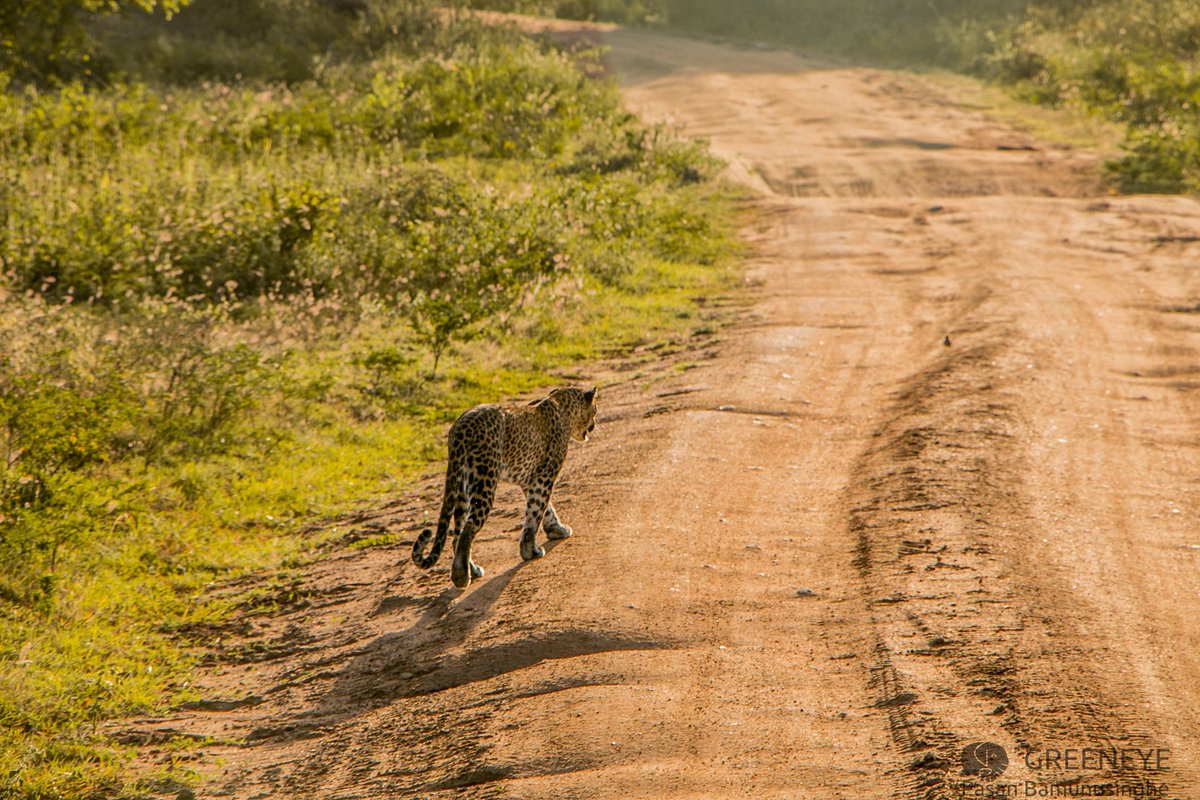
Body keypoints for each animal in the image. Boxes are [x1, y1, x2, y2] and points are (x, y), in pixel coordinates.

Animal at [411, 386, 598, 588]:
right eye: (595, 410)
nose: (594, 425)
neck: (562, 405)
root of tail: (461, 427)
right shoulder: (544, 476)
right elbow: (535, 513)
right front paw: (530, 550)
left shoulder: (530, 480)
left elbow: (545, 508)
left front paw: (555, 529)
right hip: (485, 480)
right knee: (469, 527)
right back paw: (461, 576)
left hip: (462, 488)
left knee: (457, 534)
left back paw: (471, 570)